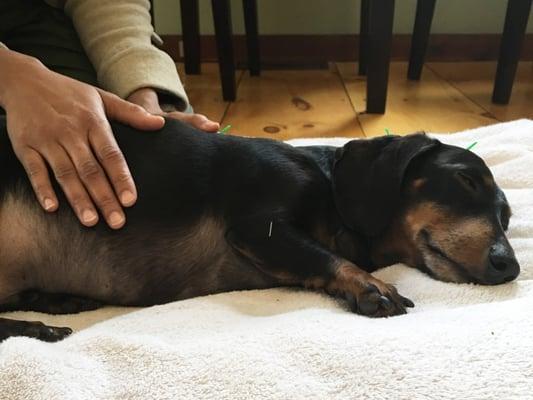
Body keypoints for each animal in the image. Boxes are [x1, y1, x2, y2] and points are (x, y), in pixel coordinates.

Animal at [0, 118, 516, 340]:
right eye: (466, 180)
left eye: (507, 217)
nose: (508, 266)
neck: (331, 187)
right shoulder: (256, 227)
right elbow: (326, 257)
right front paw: (370, 286)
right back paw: (41, 326)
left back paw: (55, 302)